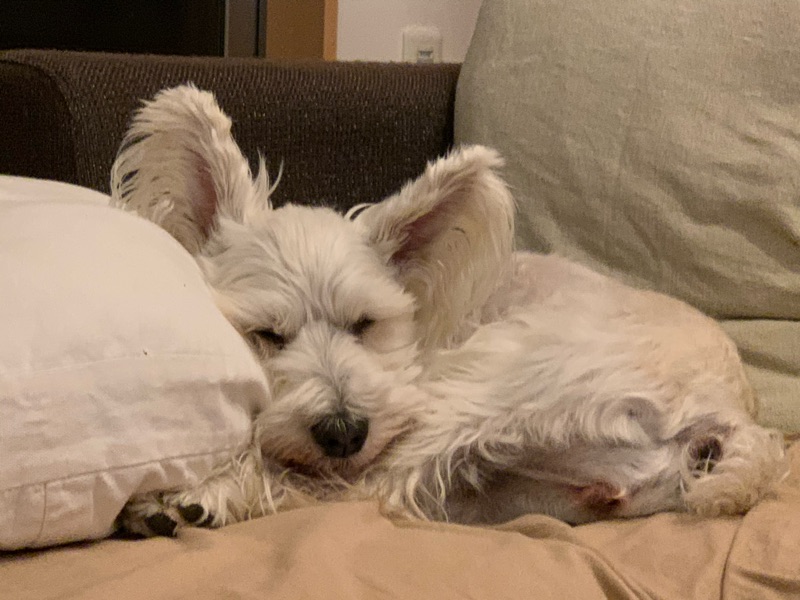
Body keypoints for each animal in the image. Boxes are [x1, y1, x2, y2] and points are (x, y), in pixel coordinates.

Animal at [112, 85, 787, 537]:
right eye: (267, 334)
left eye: (367, 324)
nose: (345, 432)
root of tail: (735, 411)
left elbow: (329, 479)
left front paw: (205, 490)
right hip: (510, 493)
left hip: (483, 382)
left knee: (351, 489)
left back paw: (198, 494)